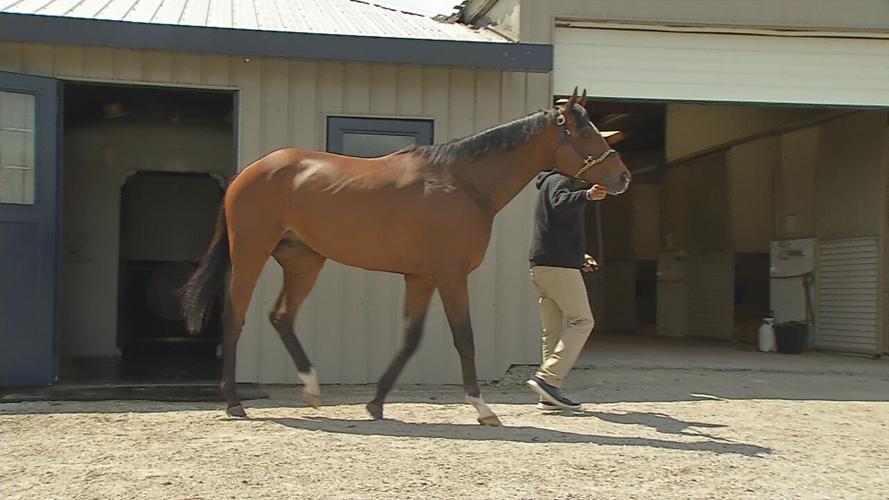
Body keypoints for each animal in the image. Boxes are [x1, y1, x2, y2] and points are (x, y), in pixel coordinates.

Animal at [180, 88, 630, 426]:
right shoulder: (451, 276)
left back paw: (311, 390)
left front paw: (376, 403)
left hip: (304, 261)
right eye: (586, 133)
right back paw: (234, 402)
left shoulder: (421, 278)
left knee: (282, 317)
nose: (622, 177)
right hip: (250, 254)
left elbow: (411, 338)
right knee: (234, 318)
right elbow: (464, 338)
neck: (464, 183)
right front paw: (483, 409)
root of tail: (247, 174)